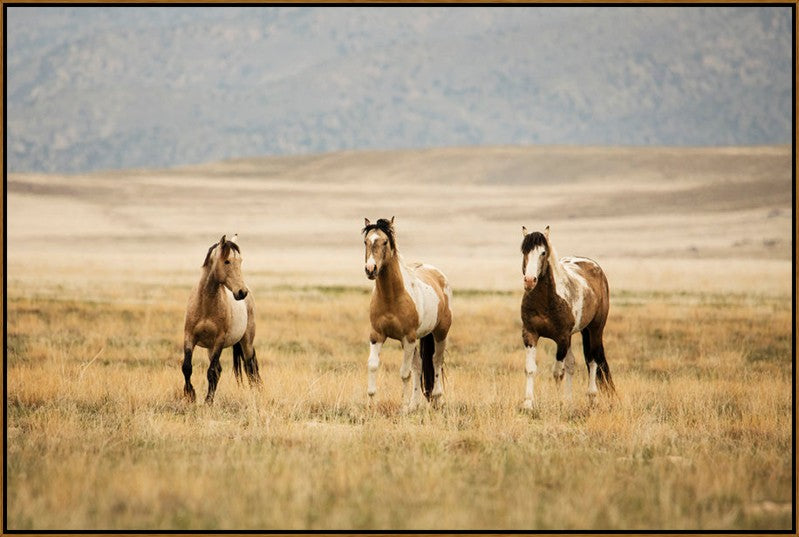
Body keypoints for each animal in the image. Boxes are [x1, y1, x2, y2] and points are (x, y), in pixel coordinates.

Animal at [182, 234, 261, 404]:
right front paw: (190, 395)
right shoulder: (189, 337)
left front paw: (207, 401)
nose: (242, 292)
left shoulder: (219, 340)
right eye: (227, 261)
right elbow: (187, 367)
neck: (206, 306)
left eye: (240, 261)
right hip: (210, 348)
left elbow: (211, 372)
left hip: (246, 342)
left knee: (250, 366)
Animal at [362, 217, 453, 411]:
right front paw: (371, 404)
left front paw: (403, 407)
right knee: (418, 366)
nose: (371, 269)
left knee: (436, 361)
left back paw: (436, 399)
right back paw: (414, 405)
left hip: (440, 333)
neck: (392, 297)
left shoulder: (408, 338)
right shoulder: (376, 335)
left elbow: (404, 373)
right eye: (366, 241)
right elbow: (373, 366)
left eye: (385, 242)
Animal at [519, 225, 615, 408]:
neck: (546, 301)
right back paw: (569, 401)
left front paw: (557, 403)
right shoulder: (530, 334)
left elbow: (558, 372)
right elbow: (530, 369)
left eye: (543, 252)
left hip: (594, 330)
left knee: (593, 359)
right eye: (524, 251)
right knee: (572, 363)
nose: (529, 280)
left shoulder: (562, 338)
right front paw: (528, 403)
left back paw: (592, 397)